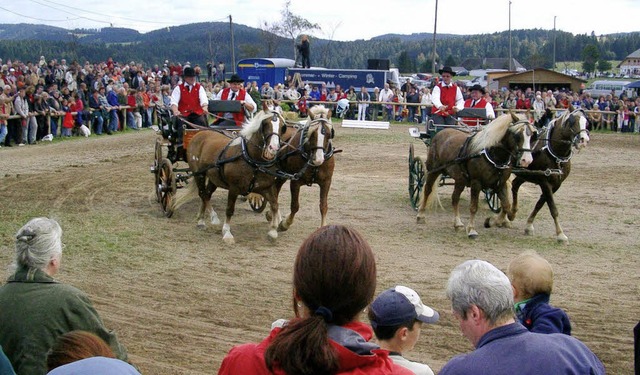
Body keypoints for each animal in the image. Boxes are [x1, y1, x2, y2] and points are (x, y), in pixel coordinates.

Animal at [175, 102, 284, 244]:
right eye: (265, 124)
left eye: (283, 126)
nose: (273, 148)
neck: (249, 157)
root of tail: (199, 133)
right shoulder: (234, 188)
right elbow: (230, 209)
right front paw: (227, 233)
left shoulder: (266, 187)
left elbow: (275, 205)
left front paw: (273, 231)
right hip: (199, 174)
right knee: (203, 194)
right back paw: (212, 218)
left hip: (213, 178)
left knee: (207, 195)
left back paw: (201, 219)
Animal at [500, 108, 592, 244]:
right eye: (572, 122)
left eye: (586, 122)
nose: (583, 140)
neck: (555, 154)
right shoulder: (544, 182)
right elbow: (553, 208)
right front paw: (560, 234)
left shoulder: (556, 184)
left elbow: (540, 203)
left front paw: (529, 226)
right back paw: (505, 218)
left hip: (524, 174)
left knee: (515, 185)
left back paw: (512, 213)